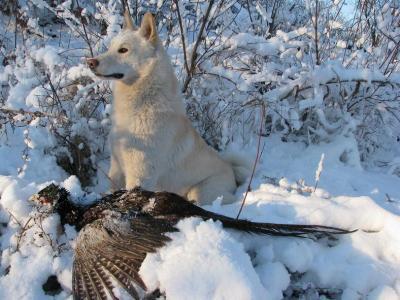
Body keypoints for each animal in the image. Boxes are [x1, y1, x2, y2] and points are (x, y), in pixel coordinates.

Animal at [87, 11, 248, 204]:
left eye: (123, 50)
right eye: (110, 47)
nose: (90, 62)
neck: (141, 102)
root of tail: (231, 171)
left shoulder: (140, 176)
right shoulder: (117, 166)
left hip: (201, 193)